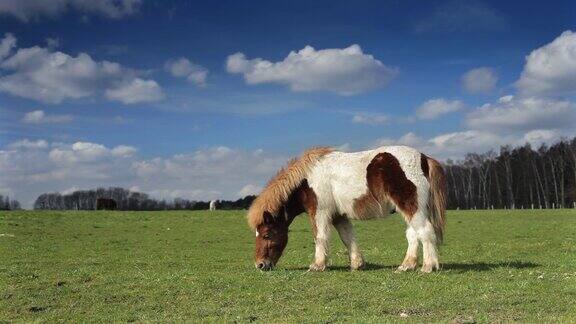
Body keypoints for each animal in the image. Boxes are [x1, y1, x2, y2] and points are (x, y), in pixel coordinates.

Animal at [246, 146, 446, 272]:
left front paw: (317, 265)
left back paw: (428, 267)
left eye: (266, 235)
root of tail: (424, 158)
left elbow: (320, 237)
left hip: (412, 208)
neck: (307, 179)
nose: (260, 265)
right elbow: (348, 237)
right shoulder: (338, 215)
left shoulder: (319, 213)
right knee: (413, 235)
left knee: (425, 232)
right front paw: (357, 264)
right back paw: (407, 266)